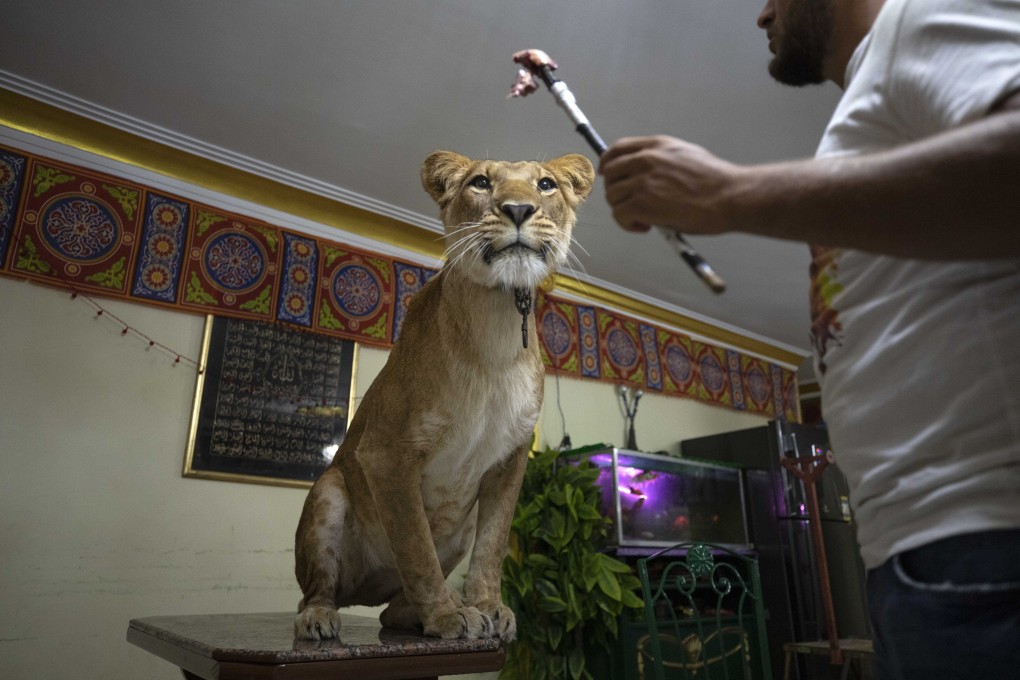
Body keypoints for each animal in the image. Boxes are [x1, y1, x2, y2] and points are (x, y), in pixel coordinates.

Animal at [293, 150, 595, 641]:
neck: (497, 325)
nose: (518, 209)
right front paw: (447, 616)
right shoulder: (386, 454)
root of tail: (365, 591)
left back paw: (428, 610)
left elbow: (492, 544)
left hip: (460, 525)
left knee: (388, 611)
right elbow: (416, 547)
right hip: (329, 491)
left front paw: (487, 607)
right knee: (319, 590)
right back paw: (322, 617)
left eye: (546, 184)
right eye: (481, 182)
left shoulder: (511, 459)